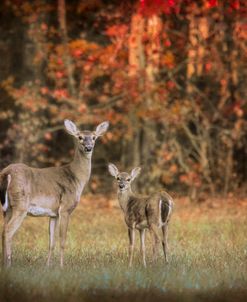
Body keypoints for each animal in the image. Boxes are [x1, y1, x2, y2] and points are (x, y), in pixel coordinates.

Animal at [0, 119, 108, 268]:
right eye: (80, 137)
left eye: (94, 137)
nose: (88, 147)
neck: (76, 177)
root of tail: (6, 173)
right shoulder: (65, 208)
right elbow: (62, 240)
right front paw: (62, 266)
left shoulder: (53, 214)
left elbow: (51, 242)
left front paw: (47, 266)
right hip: (20, 205)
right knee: (8, 231)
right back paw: (9, 264)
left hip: (7, 208)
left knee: (3, 230)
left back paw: (4, 263)